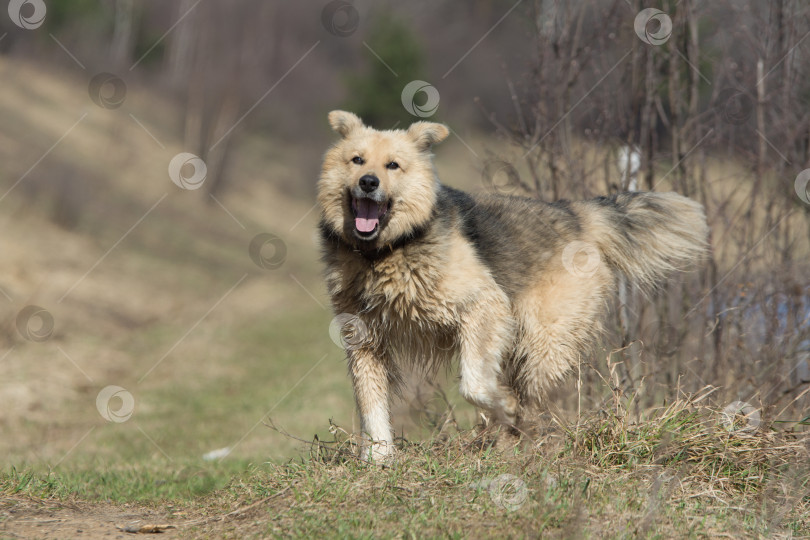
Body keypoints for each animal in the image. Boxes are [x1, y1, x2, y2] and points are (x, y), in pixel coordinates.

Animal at [316, 109, 708, 460]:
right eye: (357, 160)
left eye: (393, 165)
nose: (368, 182)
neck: (383, 253)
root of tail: (577, 214)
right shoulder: (363, 339)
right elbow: (371, 403)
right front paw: (378, 459)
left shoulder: (483, 306)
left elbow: (474, 384)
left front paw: (501, 405)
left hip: (543, 345)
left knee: (533, 402)